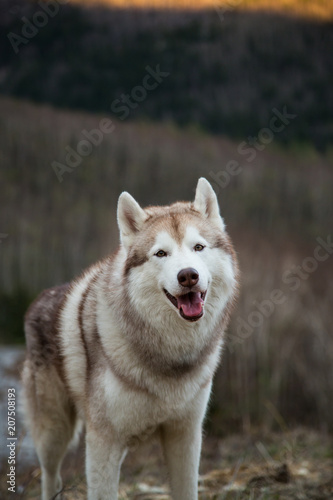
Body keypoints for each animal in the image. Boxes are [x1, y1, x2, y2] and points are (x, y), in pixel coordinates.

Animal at [21, 178, 239, 498]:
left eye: (198, 247)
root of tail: (38, 299)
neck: (169, 352)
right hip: (54, 435)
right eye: (160, 253)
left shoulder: (185, 435)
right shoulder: (103, 442)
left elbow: (187, 490)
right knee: (51, 478)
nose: (188, 275)